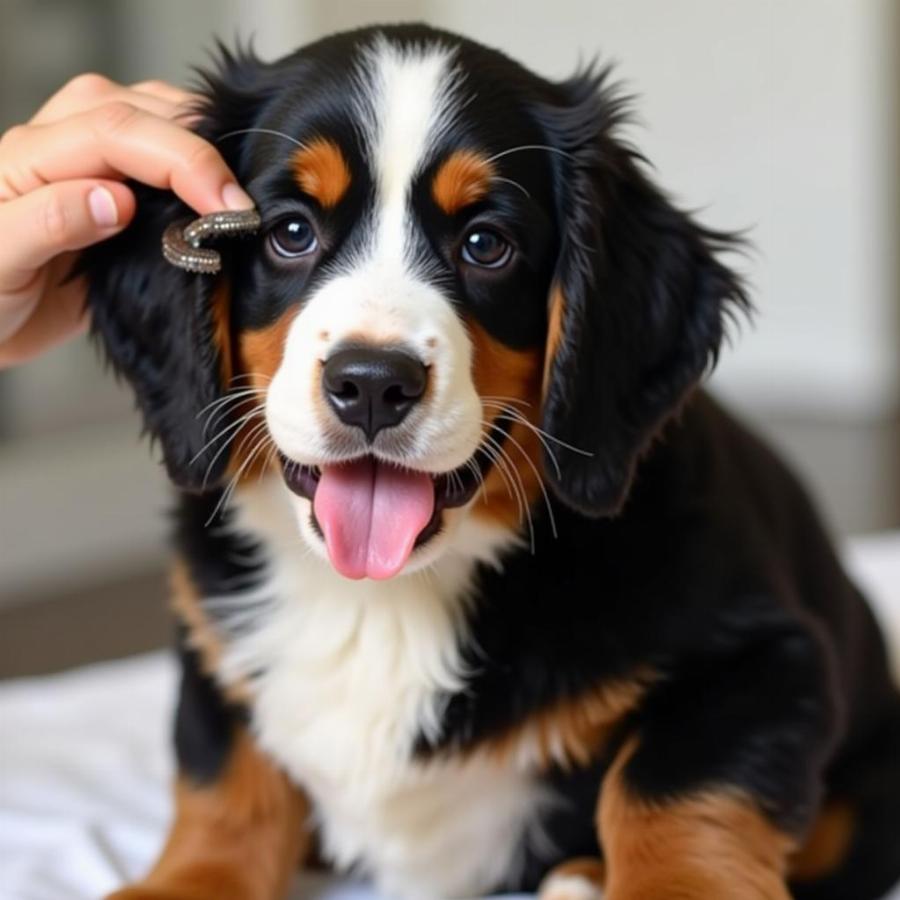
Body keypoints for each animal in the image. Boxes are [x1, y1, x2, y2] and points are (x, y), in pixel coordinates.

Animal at [84, 19, 900, 900]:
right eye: (290, 232)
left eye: (486, 244)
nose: (372, 383)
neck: (385, 601)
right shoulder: (210, 642)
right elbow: (225, 779)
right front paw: (187, 879)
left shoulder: (768, 660)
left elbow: (670, 791)